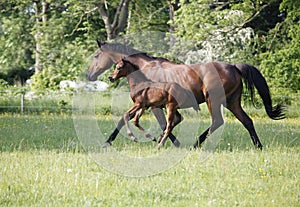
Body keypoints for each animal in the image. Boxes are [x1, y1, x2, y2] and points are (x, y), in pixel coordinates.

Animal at [88, 40, 284, 149]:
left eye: (96, 56)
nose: (89, 75)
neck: (143, 69)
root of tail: (234, 66)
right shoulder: (156, 105)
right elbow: (168, 122)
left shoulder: (154, 106)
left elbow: (162, 124)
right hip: (232, 102)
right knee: (247, 121)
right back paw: (258, 146)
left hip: (213, 100)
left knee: (217, 122)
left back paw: (196, 144)